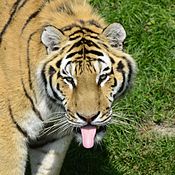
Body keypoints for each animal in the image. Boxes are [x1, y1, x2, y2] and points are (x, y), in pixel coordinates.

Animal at [0, 0, 137, 175]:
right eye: (69, 79)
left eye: (102, 77)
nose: (88, 118)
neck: (50, 105)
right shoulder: (8, 137)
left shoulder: (53, 136)